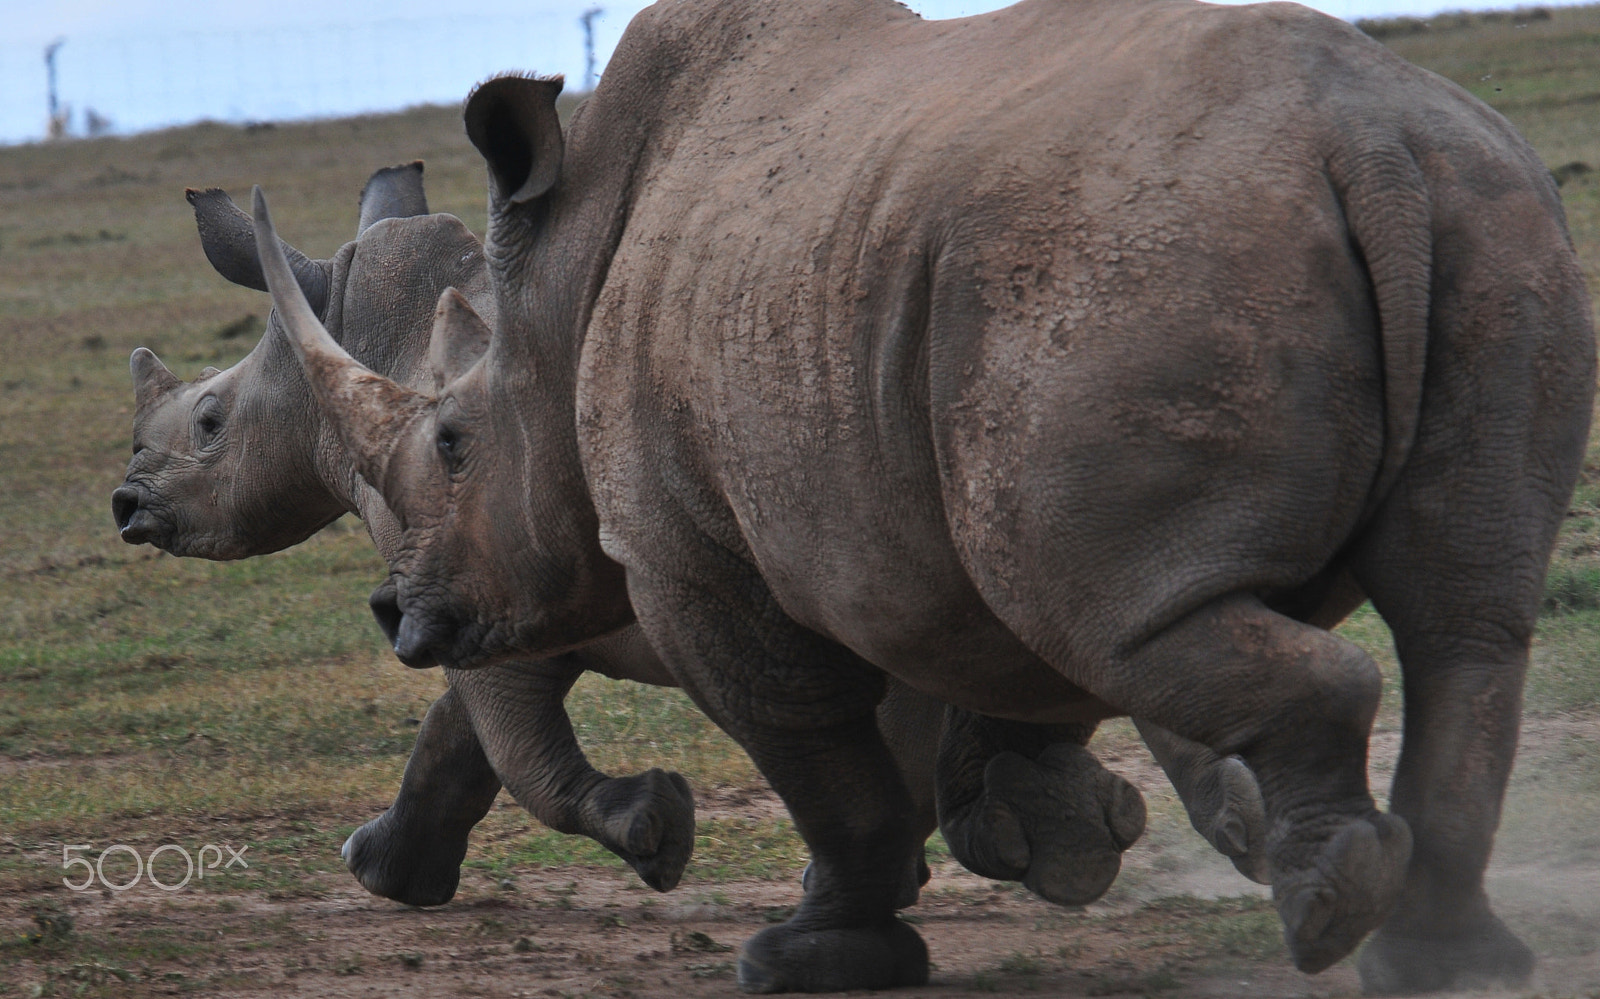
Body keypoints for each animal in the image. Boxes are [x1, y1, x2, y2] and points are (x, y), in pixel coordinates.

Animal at [114, 164, 1273, 909]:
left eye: (209, 424)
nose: (126, 505)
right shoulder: (476, 593)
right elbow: (458, 746)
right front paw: (385, 872)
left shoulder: (471, 581)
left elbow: (512, 750)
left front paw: (652, 835)